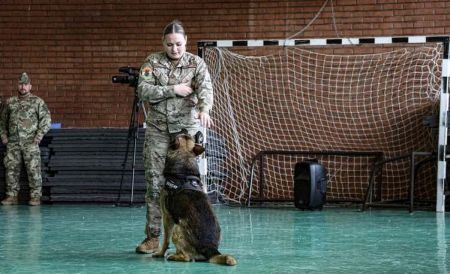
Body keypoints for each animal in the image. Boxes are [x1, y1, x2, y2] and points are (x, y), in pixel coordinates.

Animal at [153, 130, 237, 266]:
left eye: (178, 135)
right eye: (186, 135)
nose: (184, 129)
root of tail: (211, 249)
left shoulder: (167, 216)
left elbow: (165, 240)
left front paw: (160, 253)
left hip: (177, 228)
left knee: (187, 257)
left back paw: (174, 256)